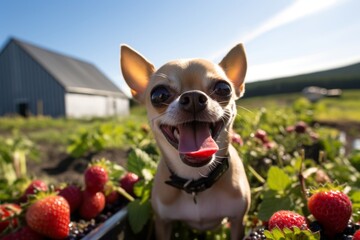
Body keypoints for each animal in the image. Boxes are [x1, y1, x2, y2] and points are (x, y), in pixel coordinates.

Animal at [121, 44, 250, 239]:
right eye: (159, 94)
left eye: (224, 88)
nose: (194, 97)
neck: (195, 181)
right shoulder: (163, 223)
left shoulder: (237, 222)